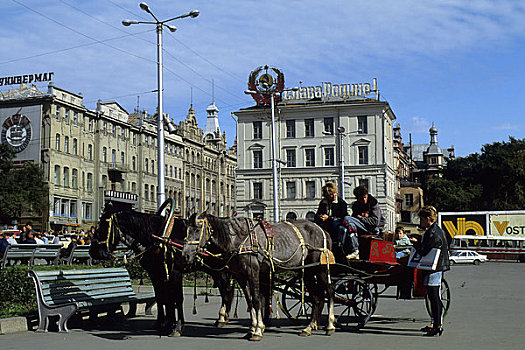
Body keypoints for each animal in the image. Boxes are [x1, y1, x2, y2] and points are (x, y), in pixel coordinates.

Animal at [90, 202, 235, 336]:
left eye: (102, 227)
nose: (92, 252)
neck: (160, 236)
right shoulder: (156, 273)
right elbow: (162, 297)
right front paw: (163, 322)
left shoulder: (175, 273)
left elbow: (176, 299)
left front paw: (177, 326)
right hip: (216, 271)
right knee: (225, 290)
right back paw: (222, 318)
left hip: (220, 270)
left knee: (226, 290)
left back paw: (222, 318)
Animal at [182, 212, 334, 340]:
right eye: (186, 230)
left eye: (197, 230)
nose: (185, 255)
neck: (238, 238)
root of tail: (322, 230)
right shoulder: (241, 277)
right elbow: (250, 301)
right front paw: (252, 329)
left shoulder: (253, 272)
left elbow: (256, 300)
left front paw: (258, 330)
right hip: (307, 271)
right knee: (317, 298)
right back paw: (309, 327)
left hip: (320, 268)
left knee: (330, 291)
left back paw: (330, 325)